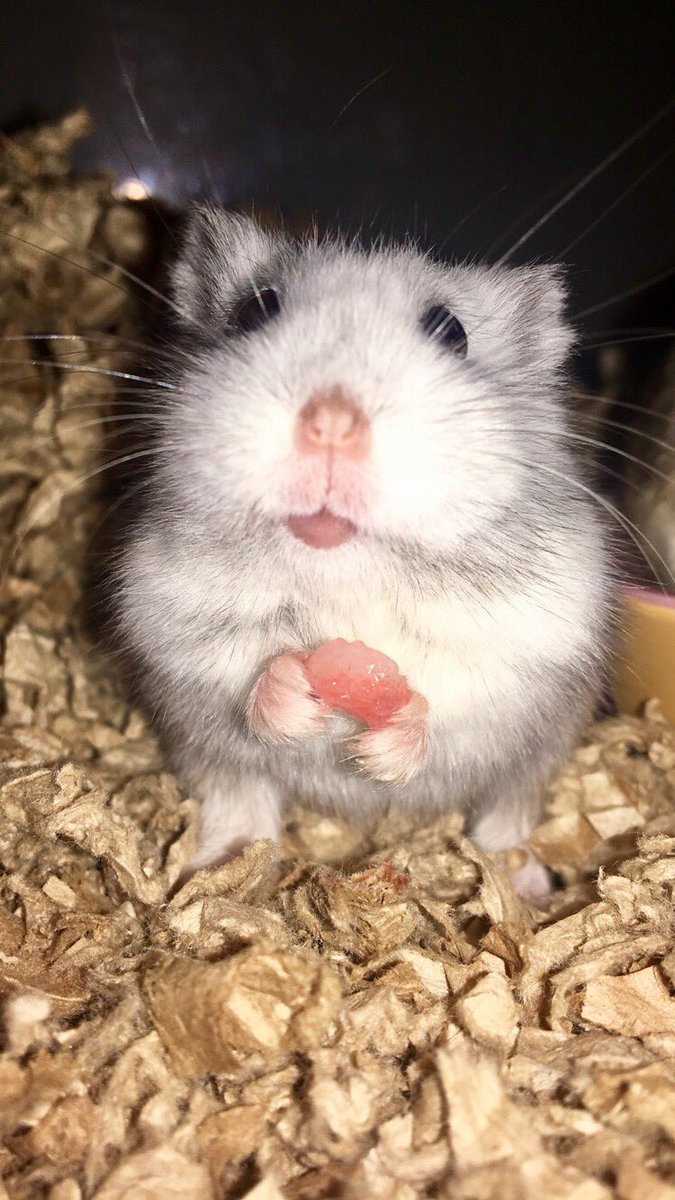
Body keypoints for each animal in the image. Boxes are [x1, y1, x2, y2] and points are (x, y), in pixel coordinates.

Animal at [114, 206, 615, 900]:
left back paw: (525, 886)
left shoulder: (532, 635)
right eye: (256, 310)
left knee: (505, 817)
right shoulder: (172, 617)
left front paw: (378, 753)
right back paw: (216, 874)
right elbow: (247, 663)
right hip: (214, 759)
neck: (347, 574)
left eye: (451, 332)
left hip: (532, 762)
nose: (331, 423)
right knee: (241, 808)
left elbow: (449, 689)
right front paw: (297, 695)